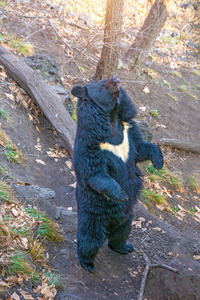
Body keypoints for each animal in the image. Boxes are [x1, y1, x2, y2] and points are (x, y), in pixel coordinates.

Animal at [71, 77, 163, 272]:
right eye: (103, 85)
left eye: (107, 78)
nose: (116, 79)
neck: (111, 120)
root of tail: (110, 226)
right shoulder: (91, 144)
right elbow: (95, 172)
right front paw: (121, 194)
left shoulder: (128, 130)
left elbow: (141, 148)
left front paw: (159, 162)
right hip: (93, 215)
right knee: (89, 238)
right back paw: (87, 262)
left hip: (127, 219)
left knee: (120, 234)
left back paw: (124, 247)